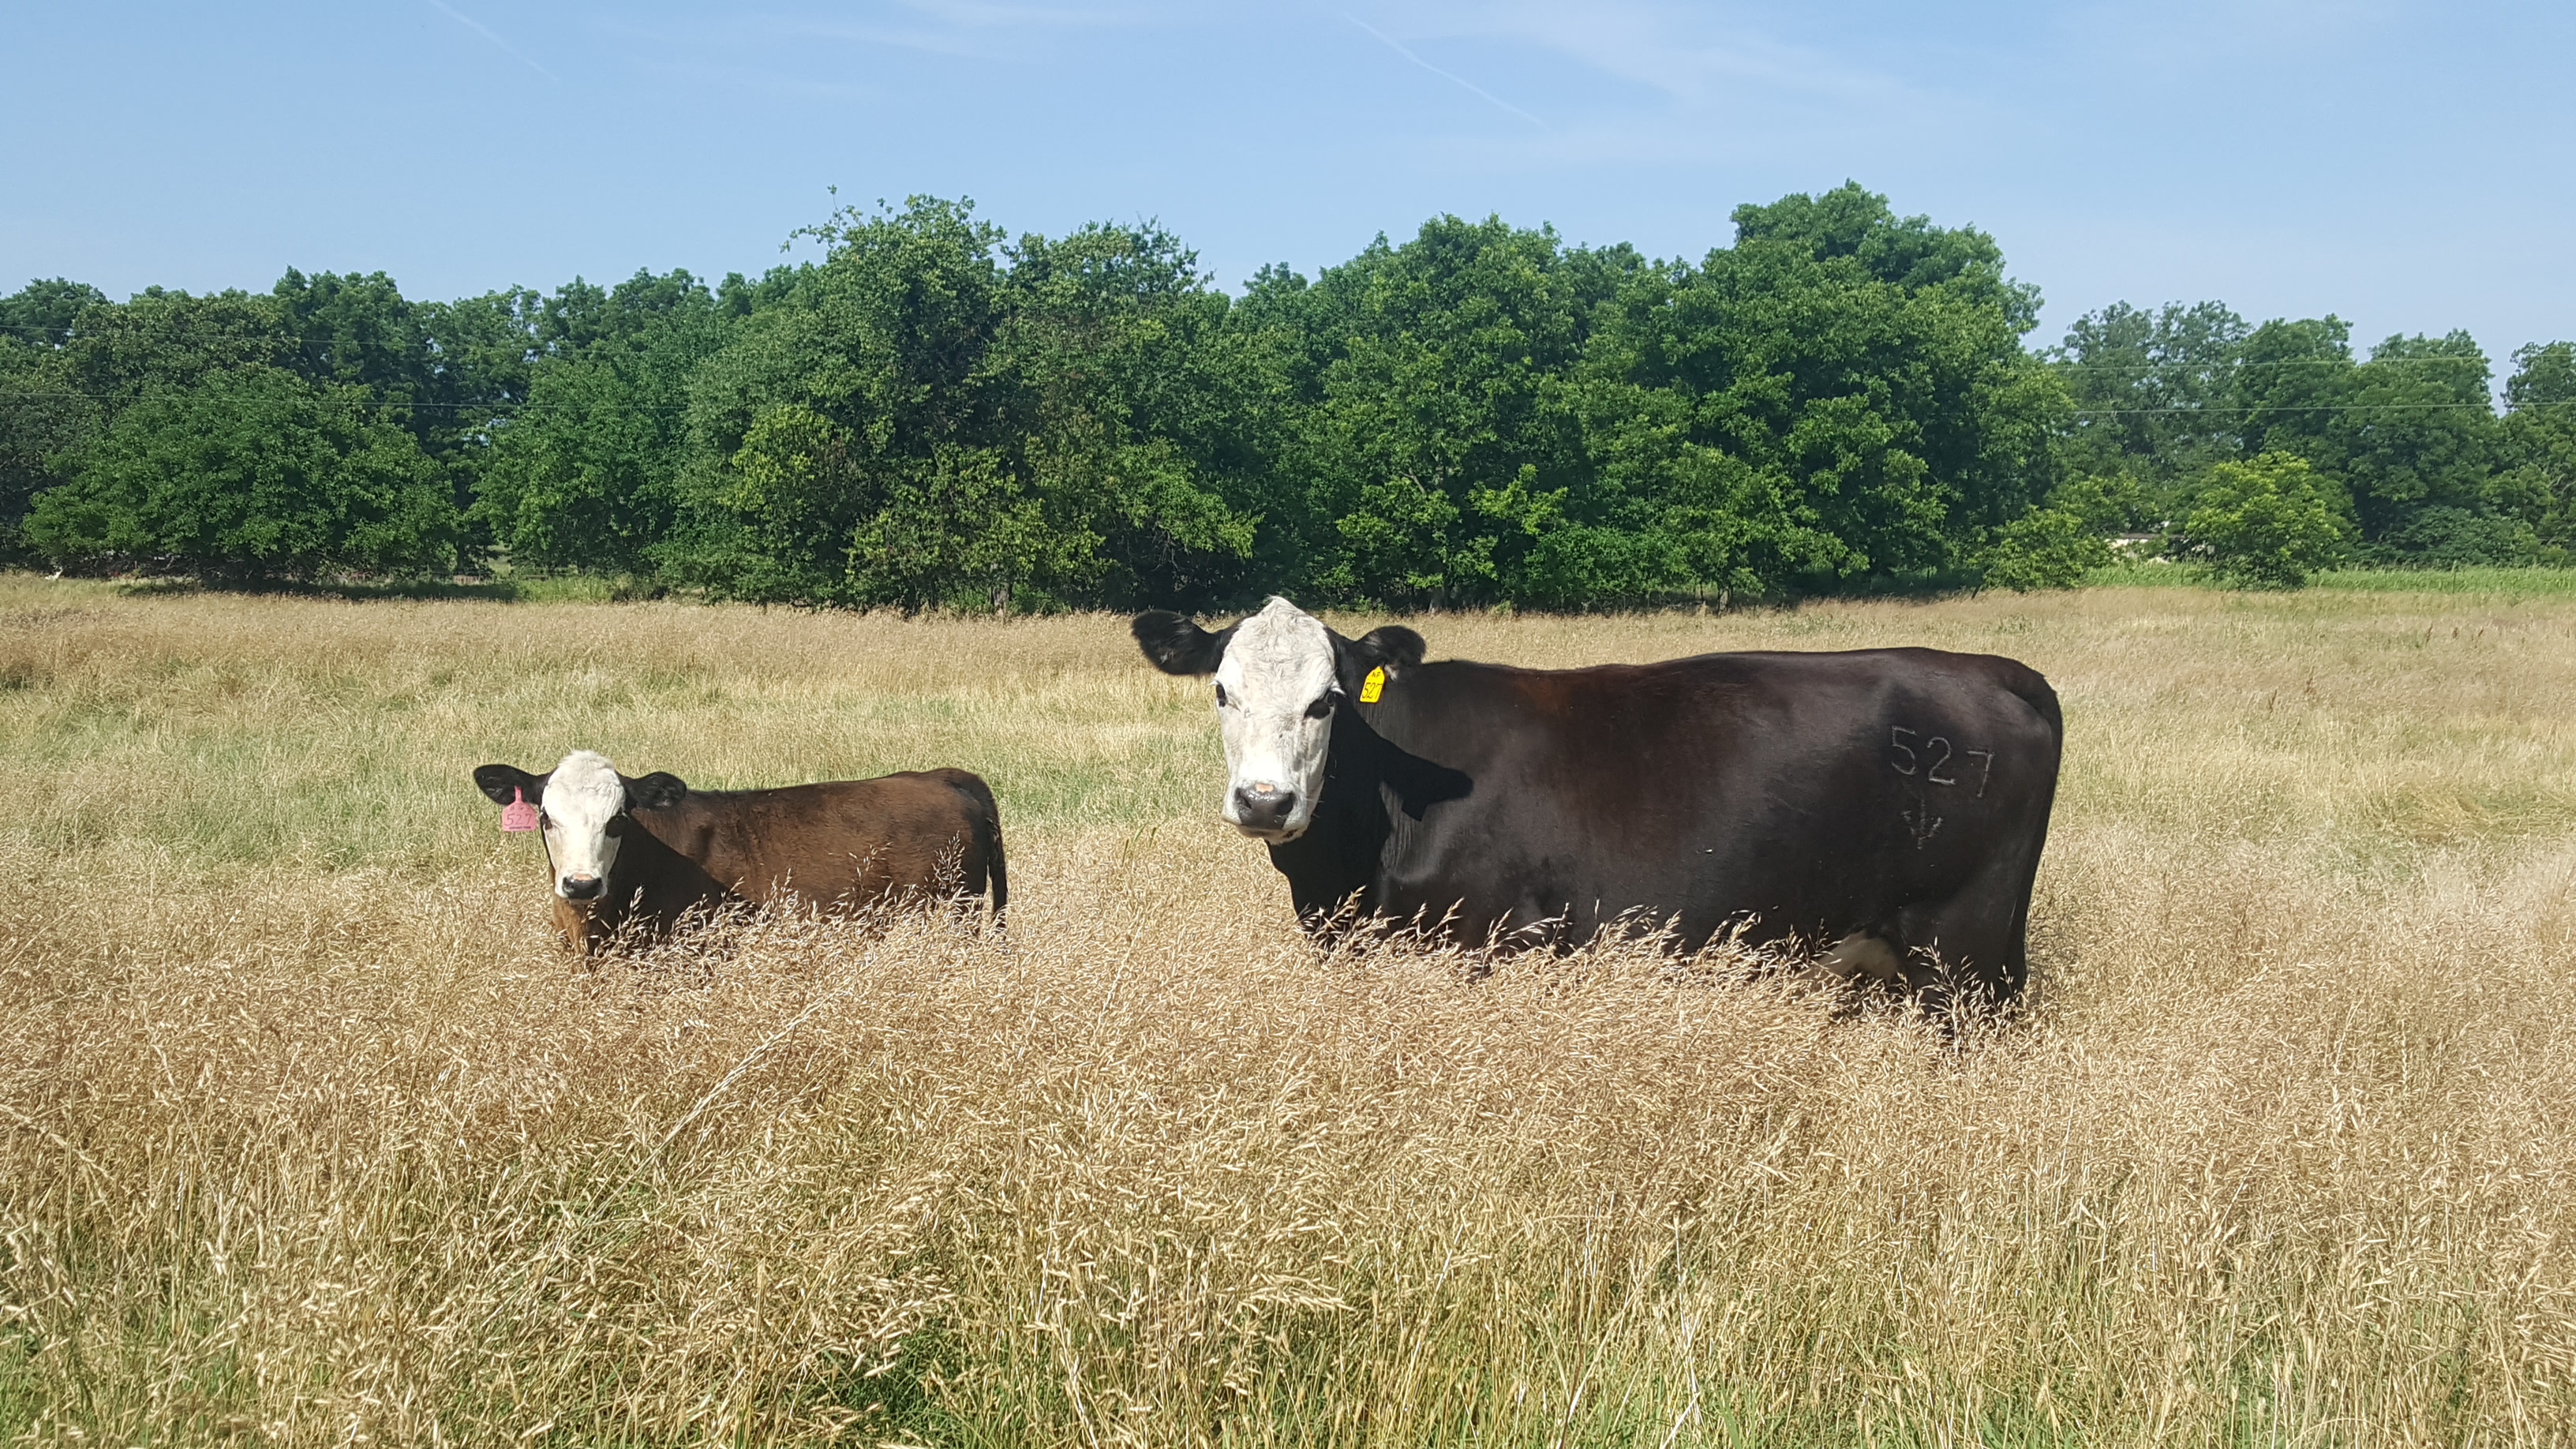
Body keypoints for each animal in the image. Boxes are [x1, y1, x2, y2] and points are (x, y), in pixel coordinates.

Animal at [1138, 593, 2061, 1000]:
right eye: (1220, 691)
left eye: (1325, 701)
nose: (1264, 801)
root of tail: (1989, 670)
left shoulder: (1493, 942)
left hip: (1967, 949)